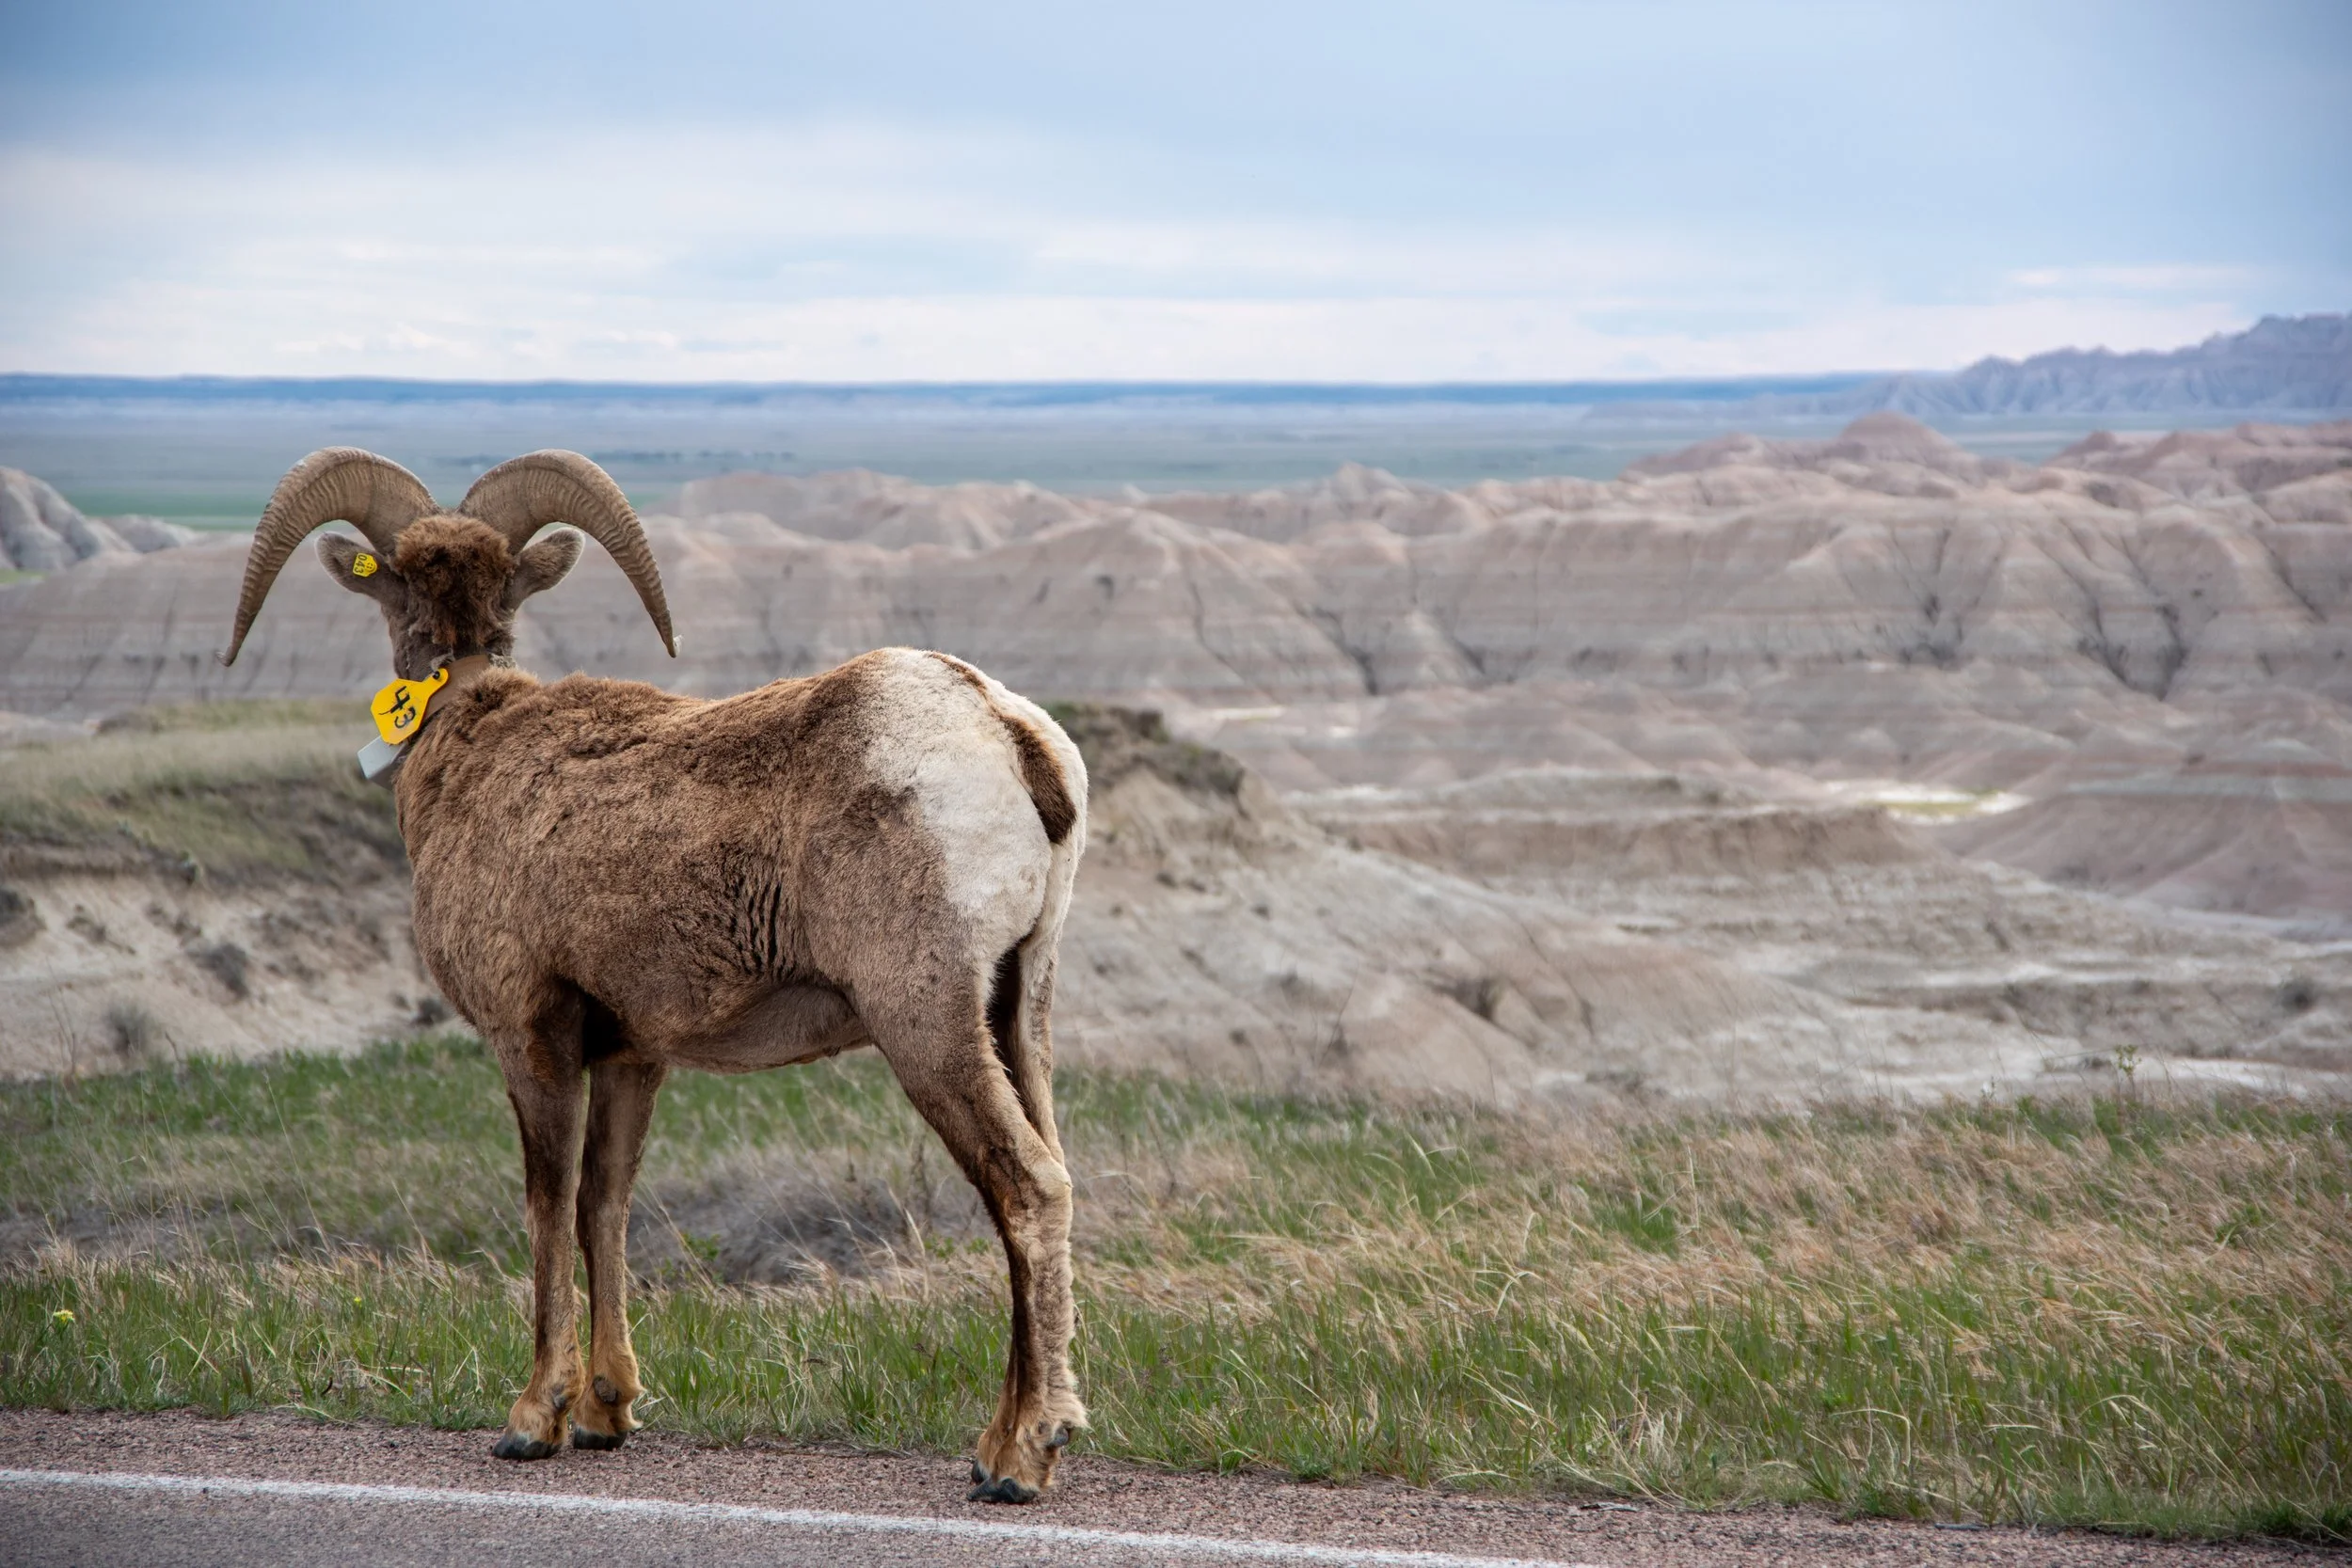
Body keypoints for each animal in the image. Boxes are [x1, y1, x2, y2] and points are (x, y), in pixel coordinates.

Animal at [219, 448, 1088, 1502]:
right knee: (1047, 1180)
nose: (568, 1418)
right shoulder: (634, 1054)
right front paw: (607, 1411)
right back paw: (1013, 1438)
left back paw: (1017, 1460)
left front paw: (533, 1419)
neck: (468, 744)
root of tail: (1007, 732)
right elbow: (607, 1202)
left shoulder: (531, 1038)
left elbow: (548, 1203)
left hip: (927, 1022)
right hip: (1018, 1011)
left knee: (1025, 1188)